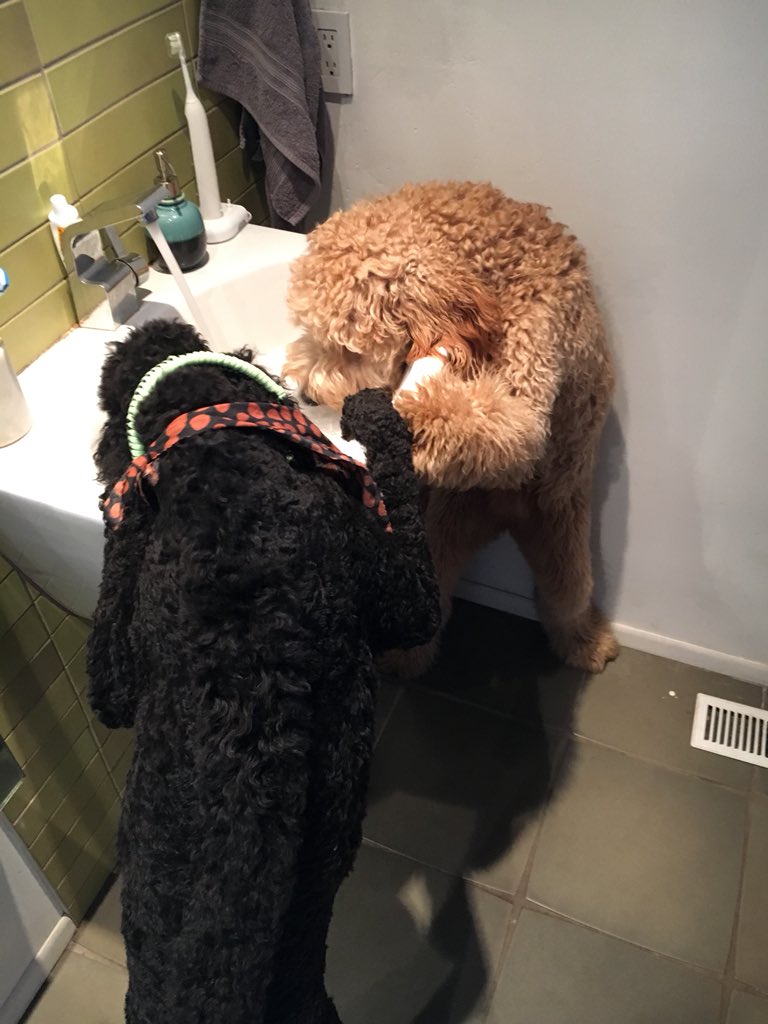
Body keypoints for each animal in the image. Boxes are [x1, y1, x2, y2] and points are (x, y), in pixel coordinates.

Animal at [286, 178, 622, 671]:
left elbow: (503, 424)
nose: (307, 395)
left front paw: (389, 417)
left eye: (346, 347)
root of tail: (505, 509)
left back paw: (588, 643)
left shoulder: (532, 365)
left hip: (559, 524)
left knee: (567, 598)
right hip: (446, 528)